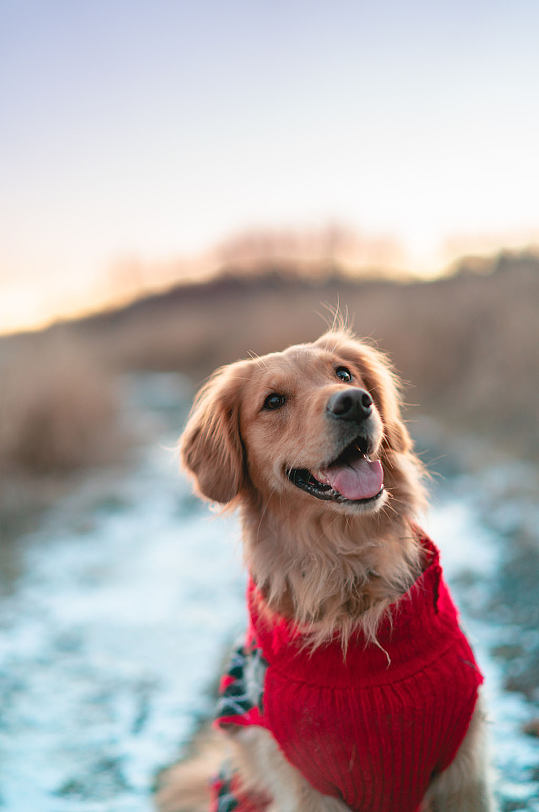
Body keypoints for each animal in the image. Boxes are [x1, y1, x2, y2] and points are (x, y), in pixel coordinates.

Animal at [156, 330, 494, 812]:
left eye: (344, 374)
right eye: (273, 401)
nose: (354, 403)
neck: (346, 569)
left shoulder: (464, 770)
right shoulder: (307, 787)